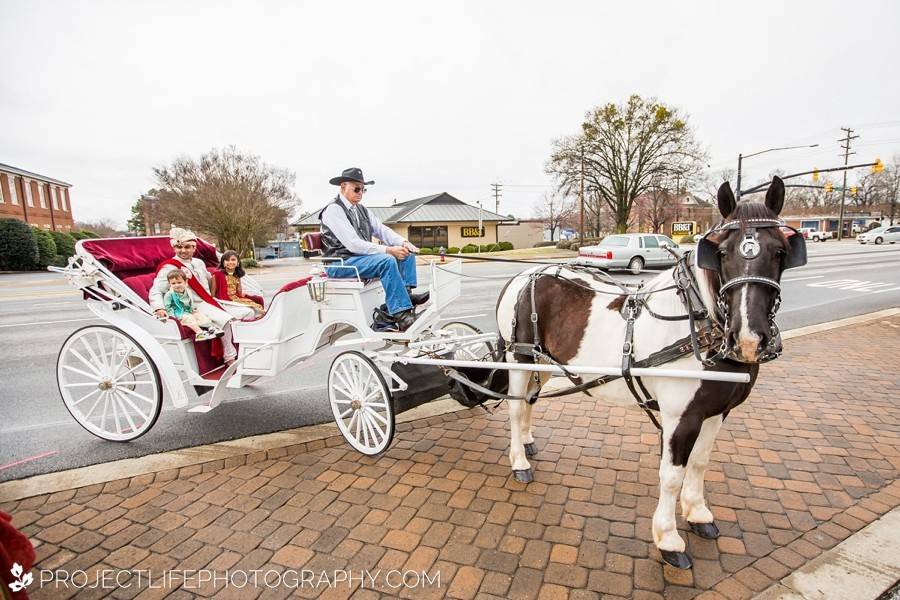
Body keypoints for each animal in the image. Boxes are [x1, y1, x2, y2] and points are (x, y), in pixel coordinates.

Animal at [500, 177, 800, 568]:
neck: (697, 323)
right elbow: (672, 475)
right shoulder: (680, 418)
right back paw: (519, 460)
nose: (749, 337)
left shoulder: (716, 412)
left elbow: (700, 462)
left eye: (781, 251)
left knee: (530, 402)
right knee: (515, 406)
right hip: (518, 357)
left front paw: (697, 512)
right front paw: (668, 539)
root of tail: (523, 276)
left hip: (544, 362)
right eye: (722, 252)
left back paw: (527, 442)